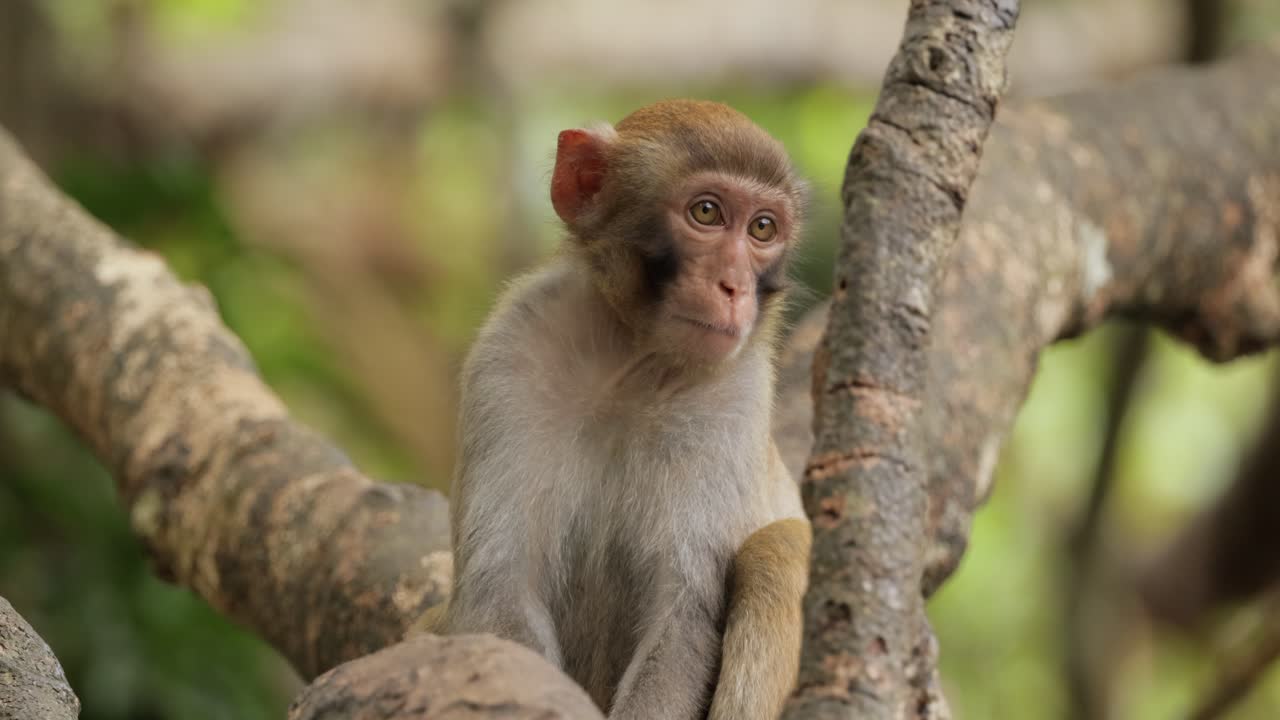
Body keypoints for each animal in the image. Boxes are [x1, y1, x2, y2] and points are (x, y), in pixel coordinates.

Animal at [437, 99, 811, 720]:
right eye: (706, 213)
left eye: (763, 228)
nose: (734, 287)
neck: (631, 364)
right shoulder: (511, 351)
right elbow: (502, 594)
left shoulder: (736, 394)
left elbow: (682, 618)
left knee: (780, 549)